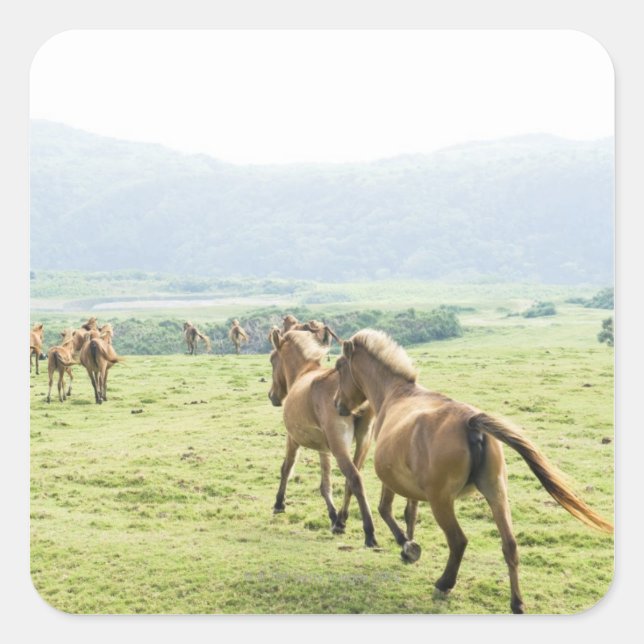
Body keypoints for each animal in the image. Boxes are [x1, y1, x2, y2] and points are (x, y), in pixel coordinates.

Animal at [268, 328, 377, 546]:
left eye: (272, 360)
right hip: (363, 441)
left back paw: (369, 533)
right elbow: (325, 484)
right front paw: (333, 515)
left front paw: (279, 503)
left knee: (354, 478)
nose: (271, 396)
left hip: (340, 445)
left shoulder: (292, 439)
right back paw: (341, 520)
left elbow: (286, 468)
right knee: (352, 480)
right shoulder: (324, 448)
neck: (304, 372)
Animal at [333, 328, 613, 614]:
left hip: (441, 501)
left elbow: (385, 510)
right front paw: (408, 547)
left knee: (458, 541)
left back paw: (444, 583)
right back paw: (517, 603)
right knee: (510, 546)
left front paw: (408, 547)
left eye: (339, 367)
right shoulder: (411, 485)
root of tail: (471, 422)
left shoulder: (390, 479)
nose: (337, 405)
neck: (396, 394)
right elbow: (410, 513)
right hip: (496, 493)